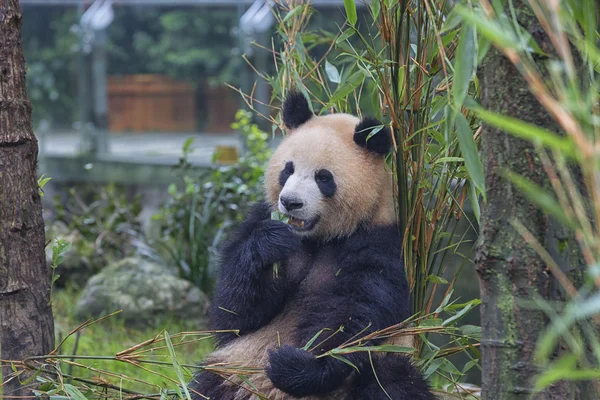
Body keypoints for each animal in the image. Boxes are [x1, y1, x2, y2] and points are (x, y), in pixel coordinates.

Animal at [190, 94, 434, 400]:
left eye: (323, 177)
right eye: (288, 169)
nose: (290, 202)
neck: (320, 238)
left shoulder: (378, 243)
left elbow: (357, 316)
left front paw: (296, 366)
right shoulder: (259, 220)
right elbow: (234, 315)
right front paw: (271, 242)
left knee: (393, 381)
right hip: (236, 370)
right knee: (209, 384)